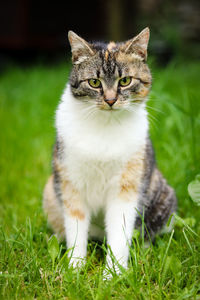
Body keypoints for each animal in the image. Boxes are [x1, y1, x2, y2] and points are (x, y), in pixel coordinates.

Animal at [43, 27, 176, 274]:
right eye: (94, 82)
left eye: (125, 80)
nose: (111, 100)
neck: (105, 125)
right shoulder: (71, 184)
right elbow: (76, 229)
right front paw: (75, 269)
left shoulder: (126, 187)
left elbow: (119, 234)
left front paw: (113, 273)